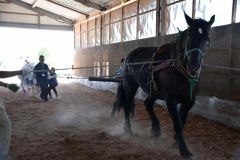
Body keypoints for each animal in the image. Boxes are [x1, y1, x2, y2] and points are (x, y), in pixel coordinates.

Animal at [113, 11, 215, 158]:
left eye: (207, 39)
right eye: (189, 37)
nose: (194, 67)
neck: (179, 69)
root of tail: (128, 56)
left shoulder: (189, 101)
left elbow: (182, 122)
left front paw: (176, 142)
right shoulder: (170, 100)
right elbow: (177, 123)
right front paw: (184, 150)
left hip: (153, 90)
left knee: (148, 104)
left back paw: (155, 129)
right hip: (131, 85)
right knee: (127, 105)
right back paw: (128, 130)